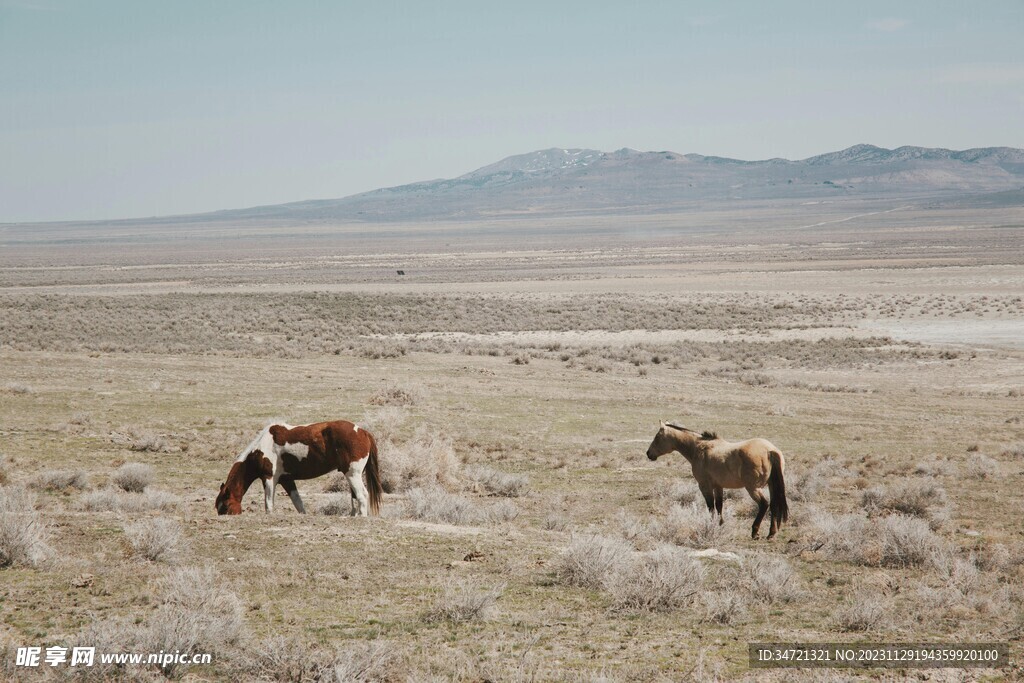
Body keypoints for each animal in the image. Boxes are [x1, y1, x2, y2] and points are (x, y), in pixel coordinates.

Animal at [214, 419, 382, 516]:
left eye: (226, 506)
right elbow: (298, 503)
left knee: (362, 495)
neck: (261, 448)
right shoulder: (286, 480)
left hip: (352, 474)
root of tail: (363, 432)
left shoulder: (268, 478)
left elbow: (268, 504)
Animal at [643, 421, 786, 540]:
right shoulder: (718, 486)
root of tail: (770, 450)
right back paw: (771, 533)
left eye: (657, 437)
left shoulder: (704, 486)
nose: (649, 453)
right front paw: (720, 524)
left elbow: (711, 506)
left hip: (753, 488)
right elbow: (719, 505)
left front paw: (711, 524)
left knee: (764, 504)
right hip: (771, 485)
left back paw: (755, 532)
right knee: (774, 504)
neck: (699, 447)